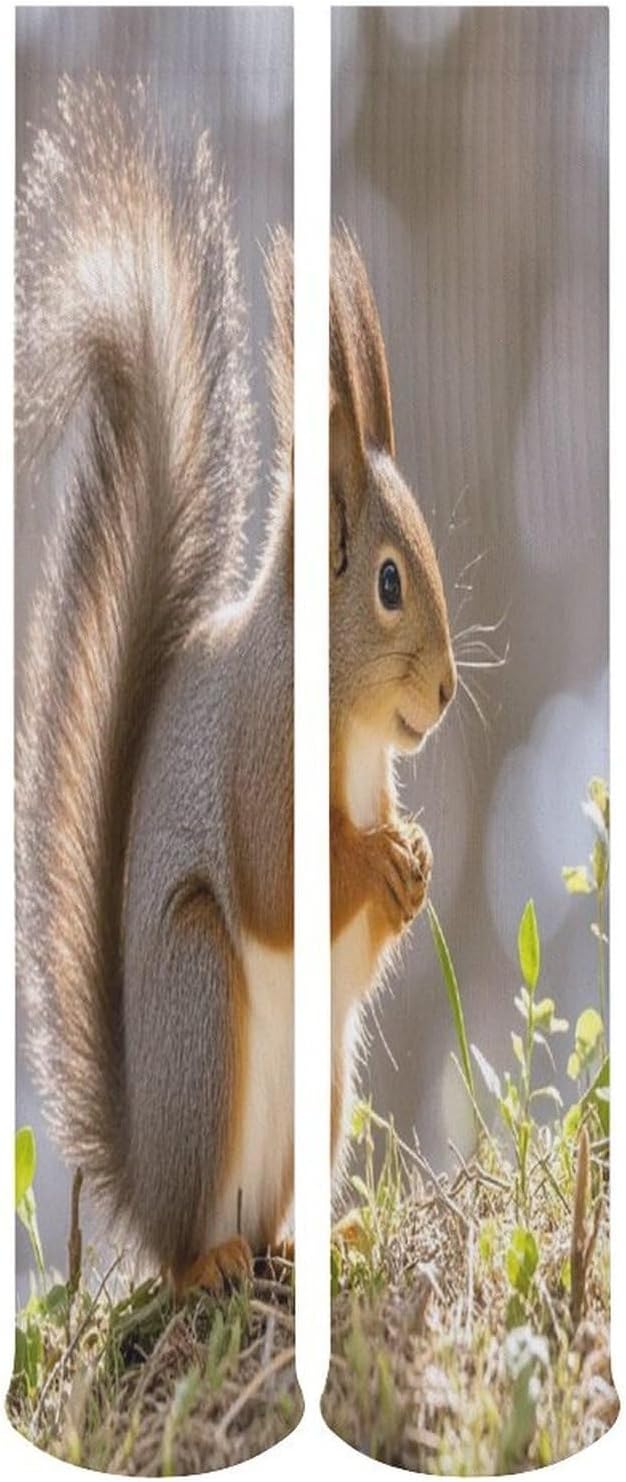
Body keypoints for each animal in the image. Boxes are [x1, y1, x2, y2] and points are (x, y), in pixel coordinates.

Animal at [16, 79, 455, 1293]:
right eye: (390, 582)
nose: (449, 693)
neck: (350, 732)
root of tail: (146, 1190)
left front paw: (415, 859)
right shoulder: (266, 744)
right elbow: (276, 874)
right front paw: (378, 861)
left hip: (326, 1089)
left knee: (271, 1224)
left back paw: (312, 1240)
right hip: (201, 1001)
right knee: (190, 1248)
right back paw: (210, 1260)